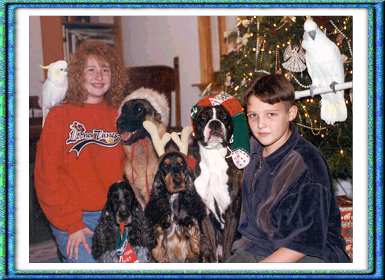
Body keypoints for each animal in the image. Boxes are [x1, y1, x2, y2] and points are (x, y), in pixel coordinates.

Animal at [190, 91, 250, 262]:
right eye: (203, 118)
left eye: (224, 117)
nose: (215, 123)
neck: (214, 158)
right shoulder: (205, 217)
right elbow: (213, 251)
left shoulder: (231, 215)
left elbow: (227, 249)